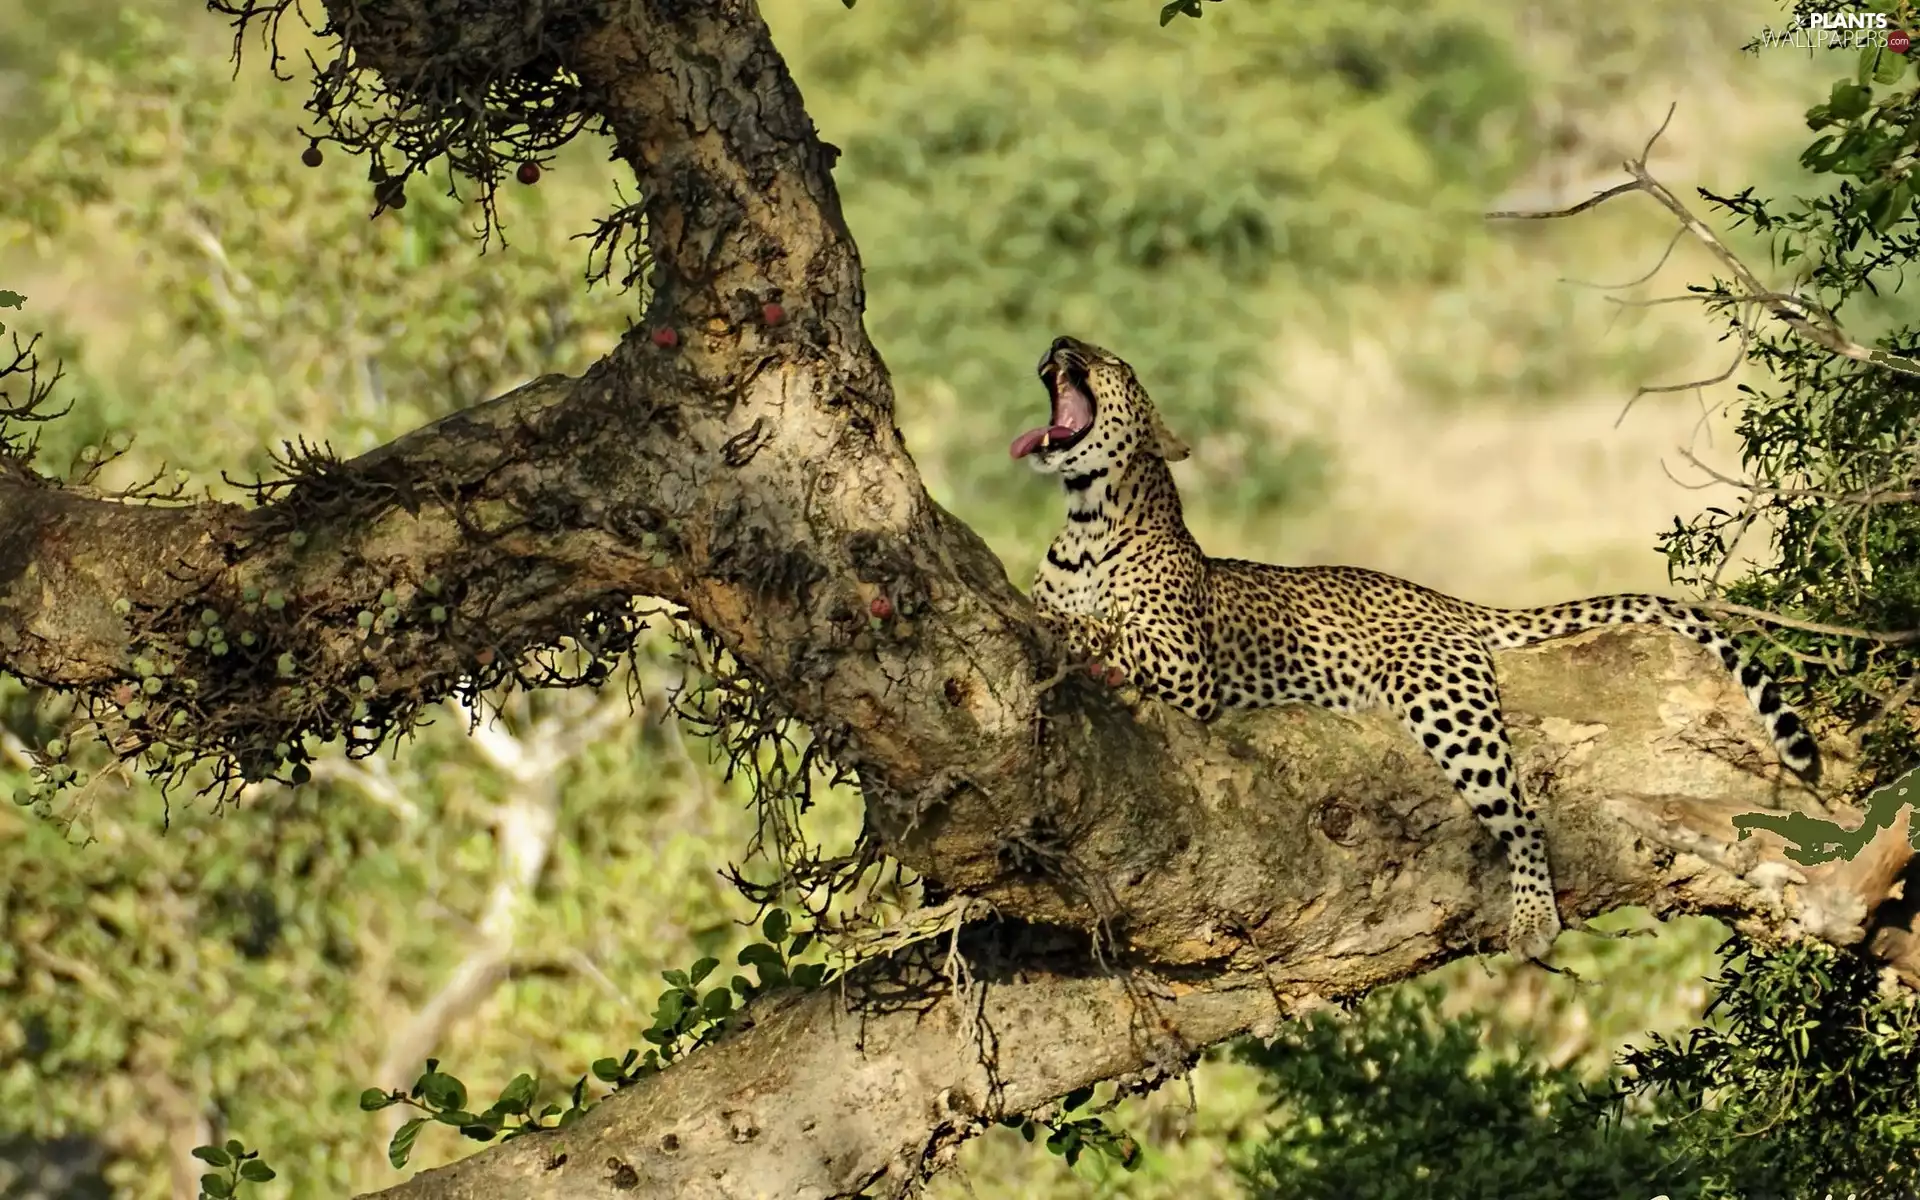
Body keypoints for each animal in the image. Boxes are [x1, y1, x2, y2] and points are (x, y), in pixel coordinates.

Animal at [1012, 334, 1822, 963]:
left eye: (1111, 361)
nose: (1060, 340)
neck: (1085, 521)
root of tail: (1442, 598)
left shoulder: (1186, 663)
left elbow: (1102, 628)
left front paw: (1065, 628)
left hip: (1444, 702)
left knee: (1521, 814)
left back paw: (1534, 919)